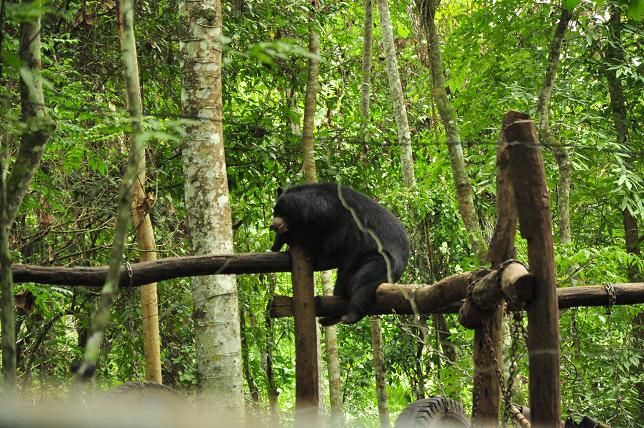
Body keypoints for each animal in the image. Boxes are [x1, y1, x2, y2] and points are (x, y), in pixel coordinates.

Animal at [270, 182, 410, 326]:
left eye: (281, 212)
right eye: (276, 212)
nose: (272, 225)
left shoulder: (329, 218)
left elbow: (311, 236)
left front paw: (281, 240)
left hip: (381, 259)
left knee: (363, 283)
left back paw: (350, 315)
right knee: (342, 285)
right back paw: (329, 318)